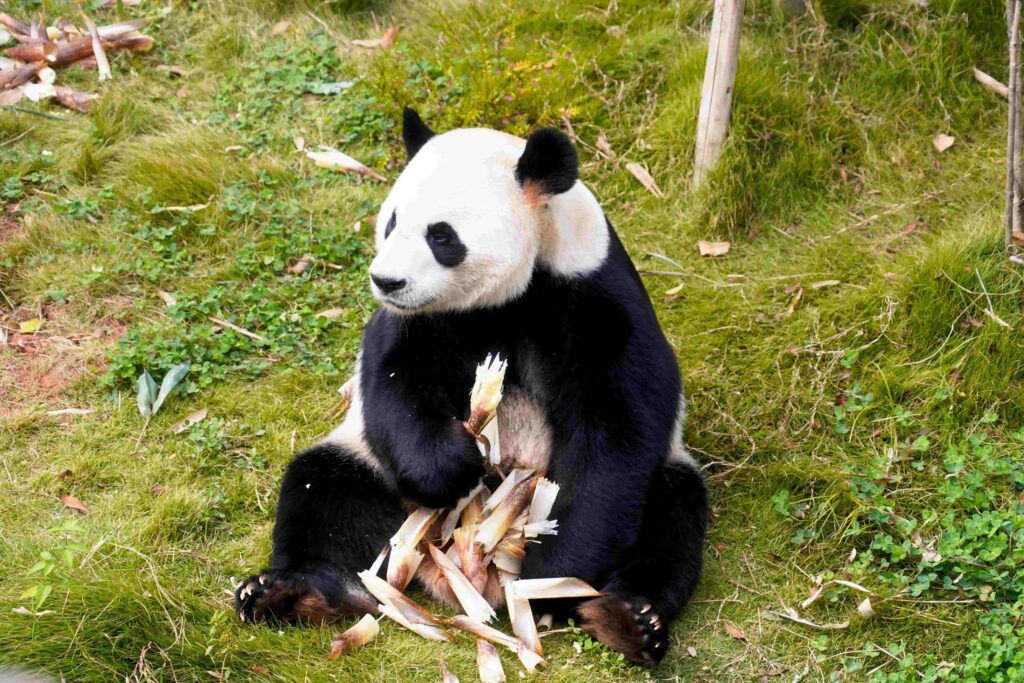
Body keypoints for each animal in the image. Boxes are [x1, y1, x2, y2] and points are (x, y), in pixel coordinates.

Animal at [234, 108, 709, 667]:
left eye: (441, 236)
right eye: (391, 222)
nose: (386, 281)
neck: (505, 298)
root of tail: (462, 578)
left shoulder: (591, 298)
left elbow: (617, 429)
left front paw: (552, 576)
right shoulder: (418, 322)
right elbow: (393, 384)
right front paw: (451, 468)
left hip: (661, 483)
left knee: (671, 516)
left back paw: (626, 619)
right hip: (373, 476)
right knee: (325, 491)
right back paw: (291, 592)